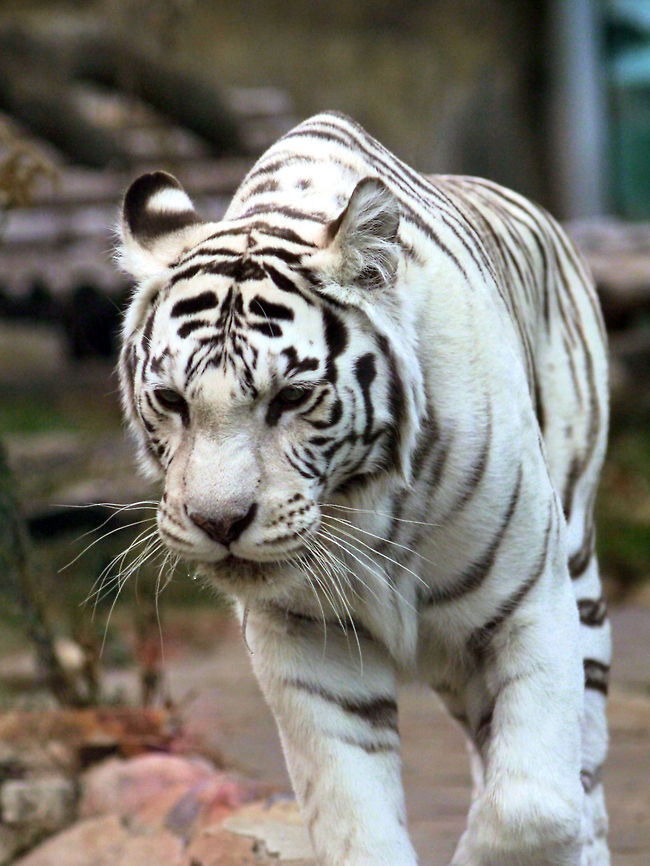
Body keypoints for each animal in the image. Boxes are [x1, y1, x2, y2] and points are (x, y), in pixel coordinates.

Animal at [117, 111, 610, 866]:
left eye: (291, 398)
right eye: (172, 400)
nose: (218, 521)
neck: (366, 507)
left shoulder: (531, 602)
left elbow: (533, 808)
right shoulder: (306, 640)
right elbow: (356, 823)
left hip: (578, 570)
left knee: (584, 773)